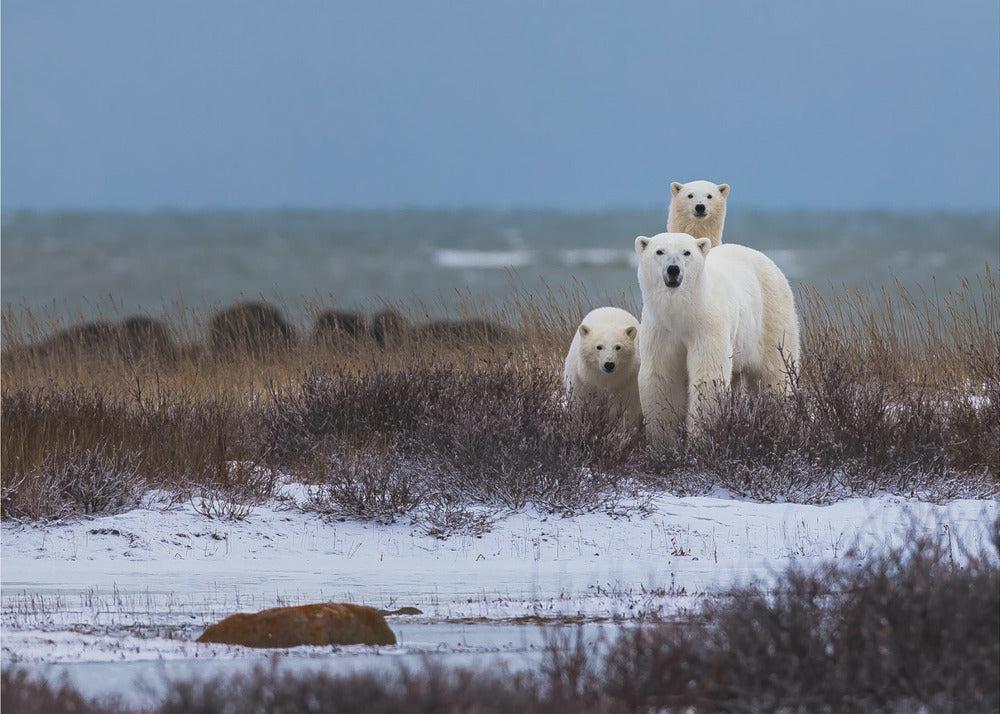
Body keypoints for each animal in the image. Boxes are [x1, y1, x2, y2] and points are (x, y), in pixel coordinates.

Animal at [635, 232, 800, 448]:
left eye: (687, 252)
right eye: (659, 251)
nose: (673, 269)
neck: (683, 311)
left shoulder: (707, 324)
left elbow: (708, 376)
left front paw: (700, 438)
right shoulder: (660, 328)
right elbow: (661, 375)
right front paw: (663, 442)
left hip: (771, 315)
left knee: (775, 373)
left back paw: (781, 421)